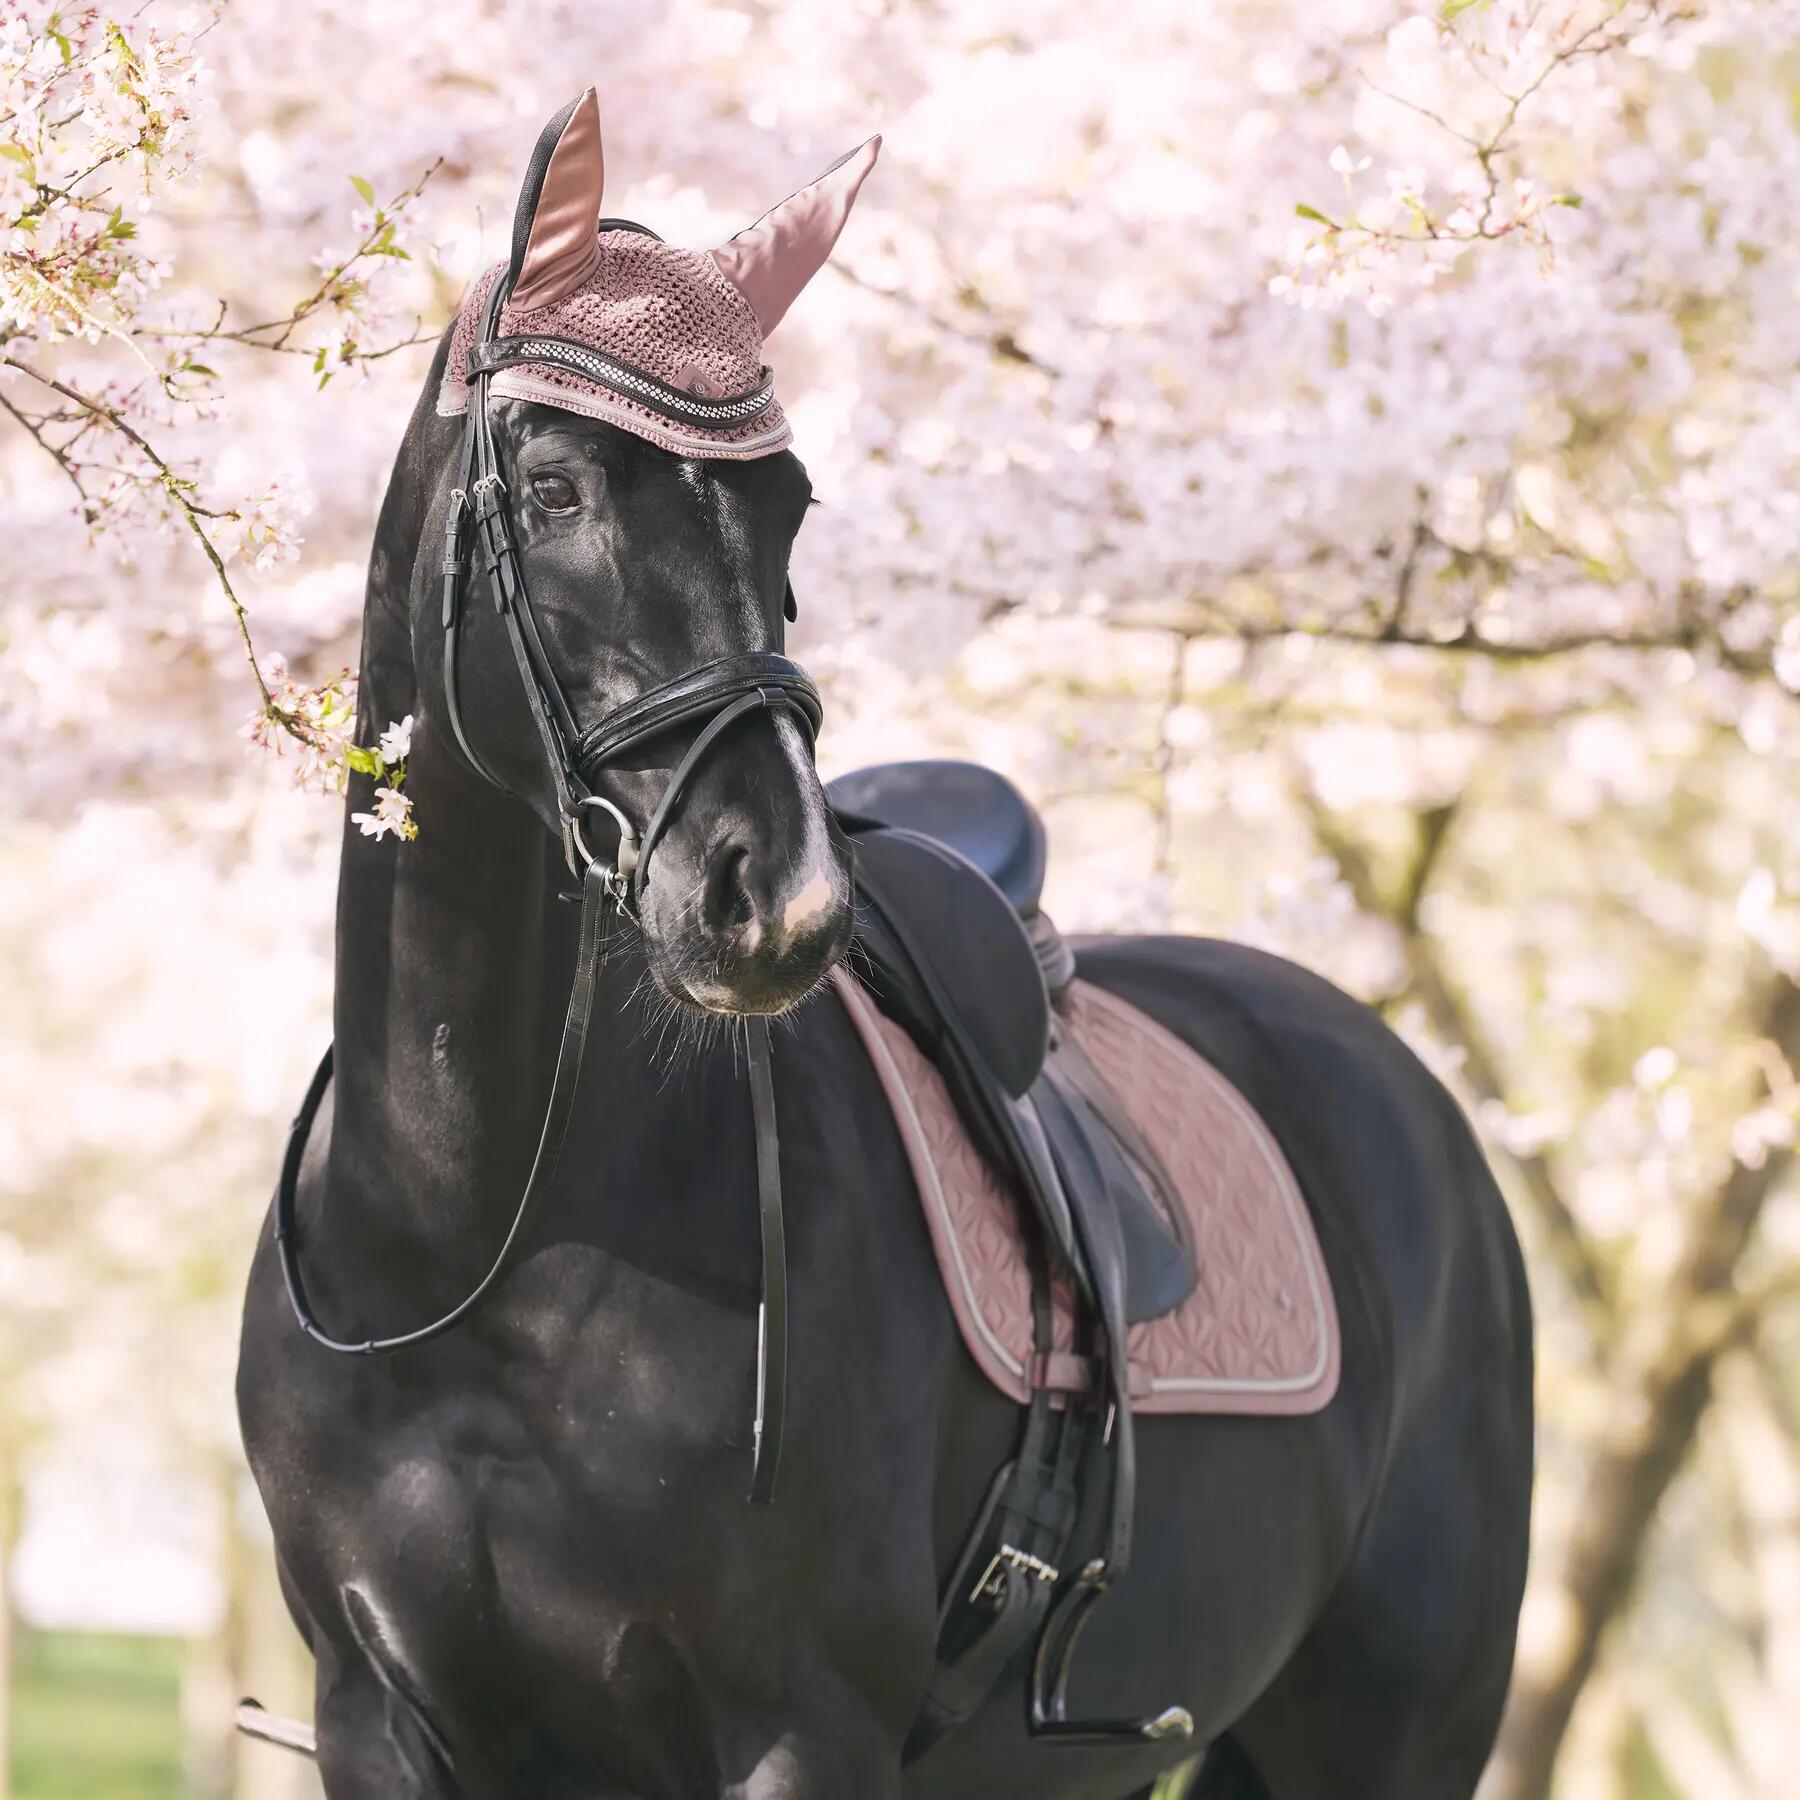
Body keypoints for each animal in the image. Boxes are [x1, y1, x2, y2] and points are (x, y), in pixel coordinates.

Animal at [237, 93, 1533, 1800]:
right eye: (558, 490)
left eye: (787, 507)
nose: (775, 901)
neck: (471, 1246)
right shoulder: (379, 1720)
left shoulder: (804, 1726)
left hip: (1393, 1733)